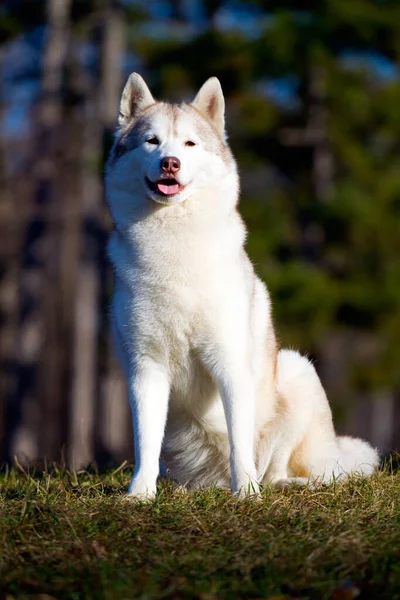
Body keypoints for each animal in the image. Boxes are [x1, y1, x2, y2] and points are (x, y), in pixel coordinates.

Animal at [104, 72, 380, 500]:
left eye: (189, 144)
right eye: (151, 141)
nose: (170, 162)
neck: (175, 247)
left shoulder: (230, 363)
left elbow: (239, 440)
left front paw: (247, 492)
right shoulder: (145, 368)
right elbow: (145, 442)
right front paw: (139, 495)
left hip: (297, 371)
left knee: (278, 469)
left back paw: (282, 484)